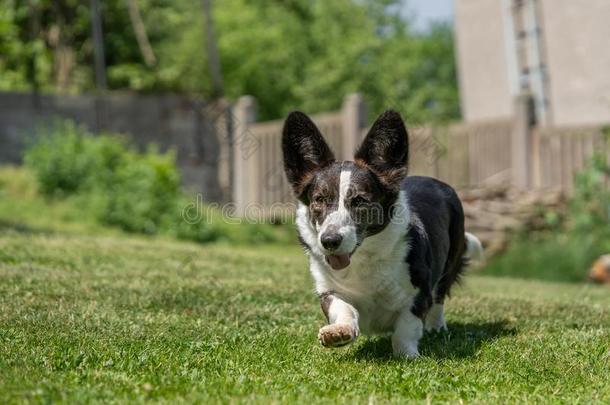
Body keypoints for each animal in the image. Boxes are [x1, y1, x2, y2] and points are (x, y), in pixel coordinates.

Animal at [280, 108, 480, 356]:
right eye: (319, 199)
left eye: (359, 200)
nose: (329, 241)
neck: (363, 258)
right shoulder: (328, 291)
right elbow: (343, 308)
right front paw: (339, 332)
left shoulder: (418, 294)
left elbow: (406, 329)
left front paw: (408, 356)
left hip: (449, 261)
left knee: (439, 296)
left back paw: (436, 327)